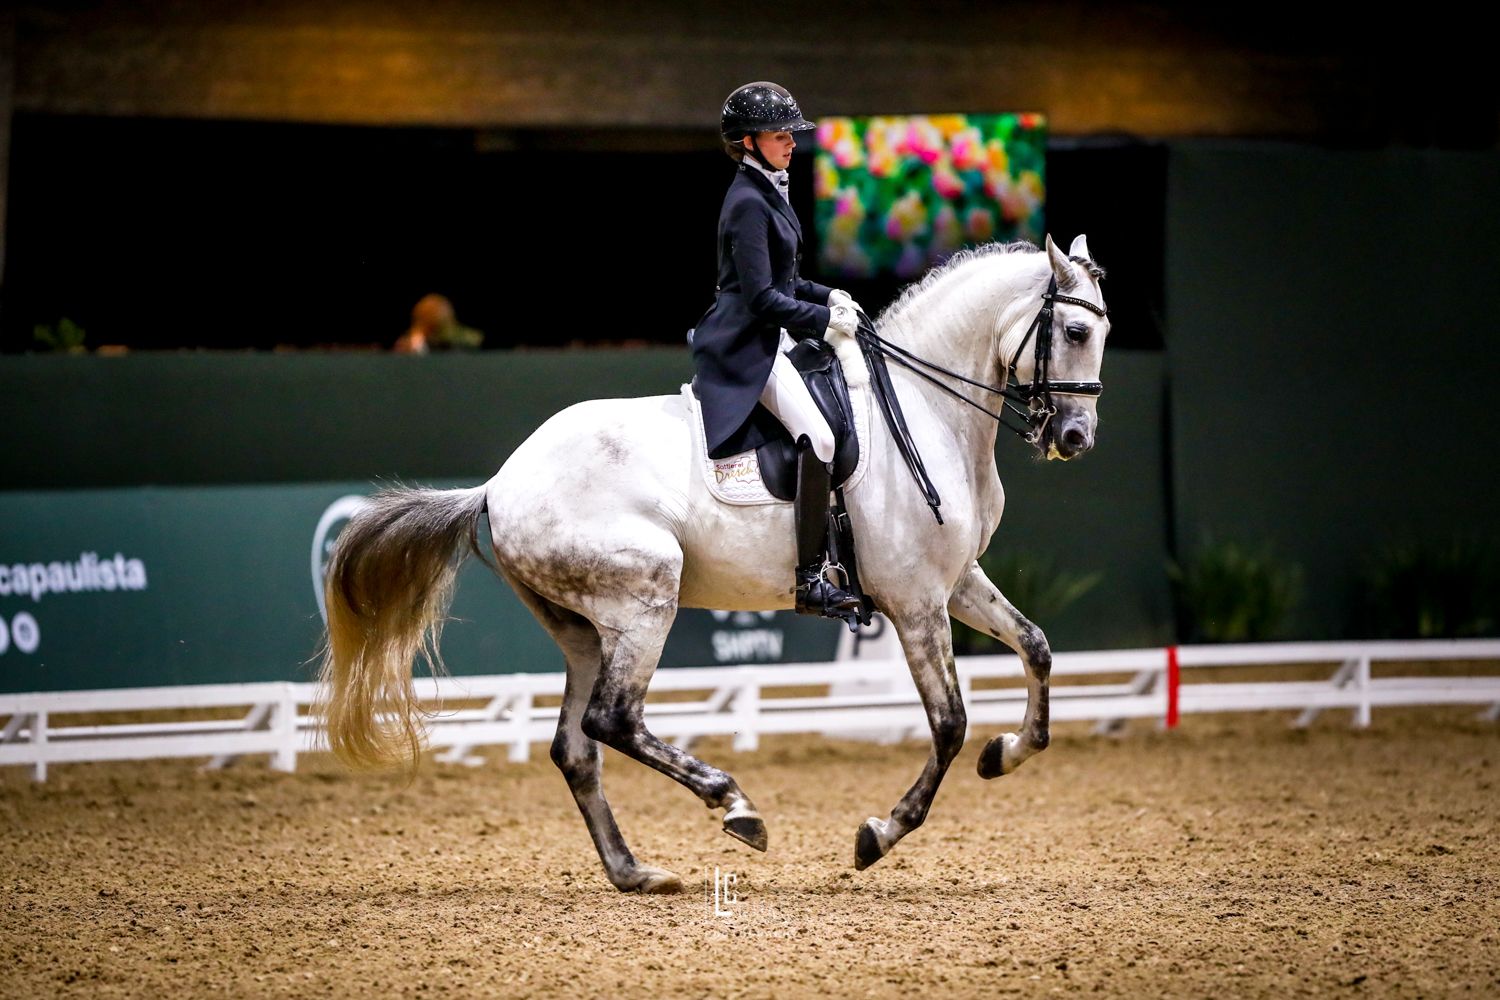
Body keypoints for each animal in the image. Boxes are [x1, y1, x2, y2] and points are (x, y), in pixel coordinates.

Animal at [319, 238, 1116, 893]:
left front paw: (1007, 753)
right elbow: (949, 722)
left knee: (576, 748)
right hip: (646, 595)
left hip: (585, 629)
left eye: (1105, 334)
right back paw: (732, 803)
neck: (925, 407)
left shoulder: (957, 583)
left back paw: (635, 872)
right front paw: (879, 834)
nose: (1075, 437)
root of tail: (498, 483)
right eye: (1076, 332)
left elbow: (1038, 648)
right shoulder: (916, 600)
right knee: (614, 719)